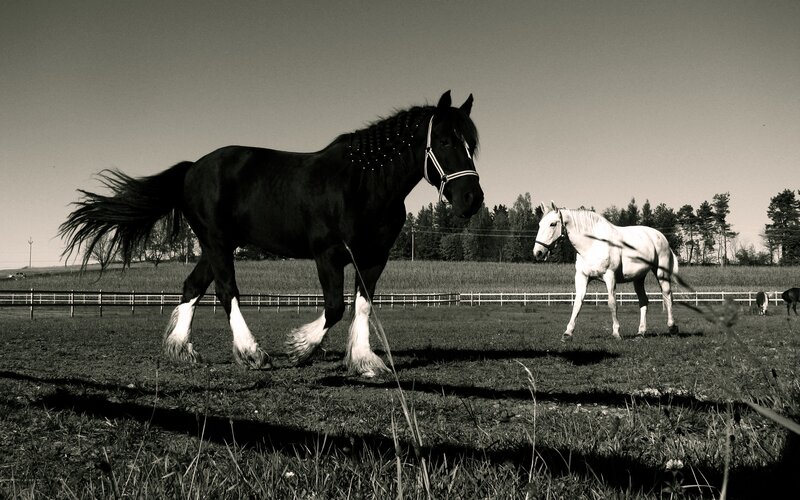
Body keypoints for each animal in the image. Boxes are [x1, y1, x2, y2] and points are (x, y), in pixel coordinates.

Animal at [59, 91, 484, 377]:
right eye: (445, 140)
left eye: (472, 145)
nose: (472, 199)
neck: (362, 183)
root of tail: (192, 168)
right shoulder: (329, 254)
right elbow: (335, 307)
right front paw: (300, 349)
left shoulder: (373, 259)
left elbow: (362, 305)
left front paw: (365, 361)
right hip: (216, 242)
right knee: (225, 291)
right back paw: (252, 353)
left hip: (216, 245)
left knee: (191, 286)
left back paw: (182, 350)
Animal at [532, 202, 679, 340]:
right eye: (540, 224)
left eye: (552, 224)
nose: (538, 252)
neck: (592, 245)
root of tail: (660, 236)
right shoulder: (582, 277)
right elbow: (577, 304)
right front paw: (567, 333)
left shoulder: (610, 277)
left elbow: (612, 304)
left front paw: (616, 333)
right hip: (638, 278)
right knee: (643, 301)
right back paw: (640, 333)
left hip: (661, 273)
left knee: (667, 295)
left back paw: (672, 327)